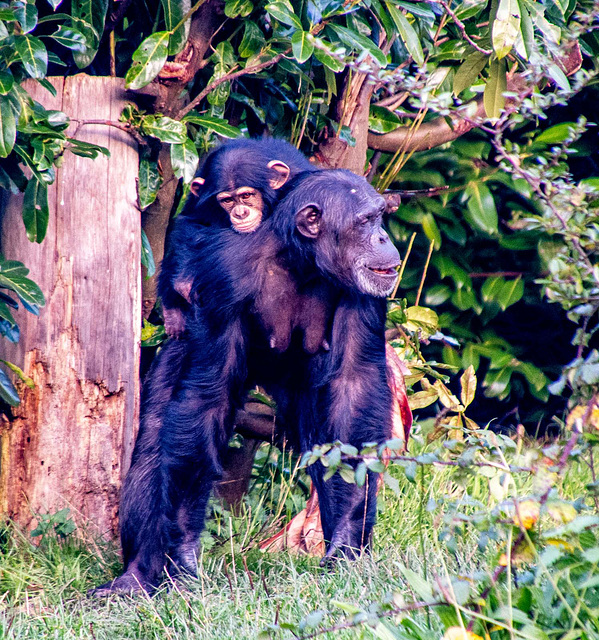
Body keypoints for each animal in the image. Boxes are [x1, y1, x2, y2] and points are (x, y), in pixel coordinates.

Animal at [94, 169, 400, 596]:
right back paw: (138, 573)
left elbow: (353, 390)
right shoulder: (226, 280)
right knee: (158, 443)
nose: (383, 238)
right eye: (365, 221)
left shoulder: (364, 290)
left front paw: (345, 544)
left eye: (378, 217)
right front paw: (182, 555)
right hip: (178, 345)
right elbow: (207, 398)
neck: (299, 261)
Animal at [157, 138, 330, 352]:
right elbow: (190, 222)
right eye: (227, 200)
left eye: (247, 195)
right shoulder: (200, 199)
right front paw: (184, 281)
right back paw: (173, 313)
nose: (240, 213)